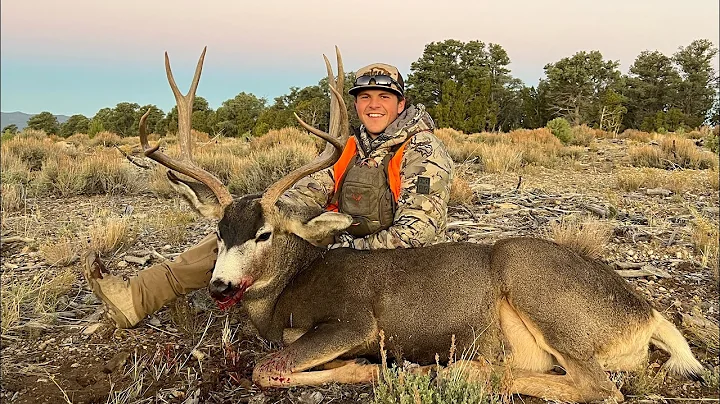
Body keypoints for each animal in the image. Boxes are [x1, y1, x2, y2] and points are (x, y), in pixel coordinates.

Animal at [137, 46, 705, 402]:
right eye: (218, 234)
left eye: (264, 233)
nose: (220, 286)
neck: (285, 295)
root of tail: (646, 313)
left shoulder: (353, 321)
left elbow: (267, 367)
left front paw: (367, 367)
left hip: (536, 285)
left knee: (600, 388)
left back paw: (463, 368)